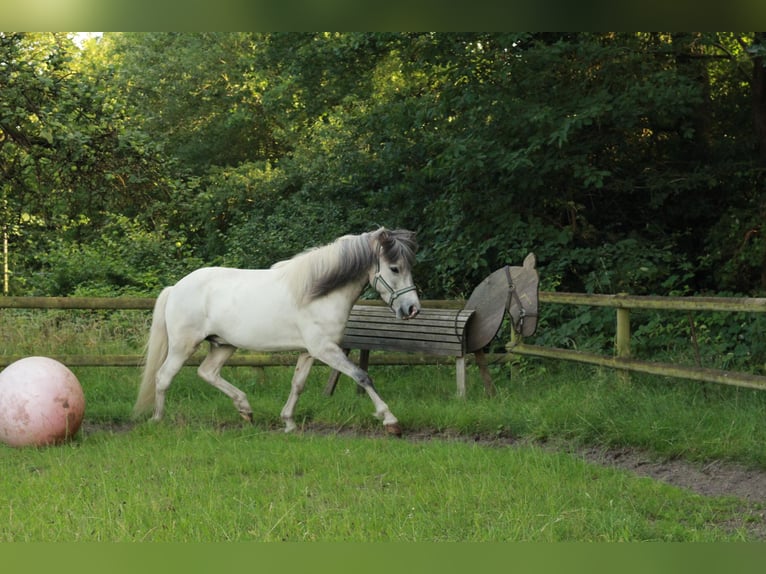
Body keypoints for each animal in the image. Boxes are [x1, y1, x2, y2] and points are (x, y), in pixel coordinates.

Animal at [132, 230, 420, 436]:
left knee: (207, 372)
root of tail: (175, 287)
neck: (318, 294)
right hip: (183, 345)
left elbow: (298, 384)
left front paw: (288, 422)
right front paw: (390, 421)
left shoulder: (309, 352)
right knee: (163, 377)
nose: (412, 308)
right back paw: (158, 420)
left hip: (223, 345)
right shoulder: (325, 349)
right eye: (394, 268)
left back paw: (245, 409)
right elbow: (362, 376)